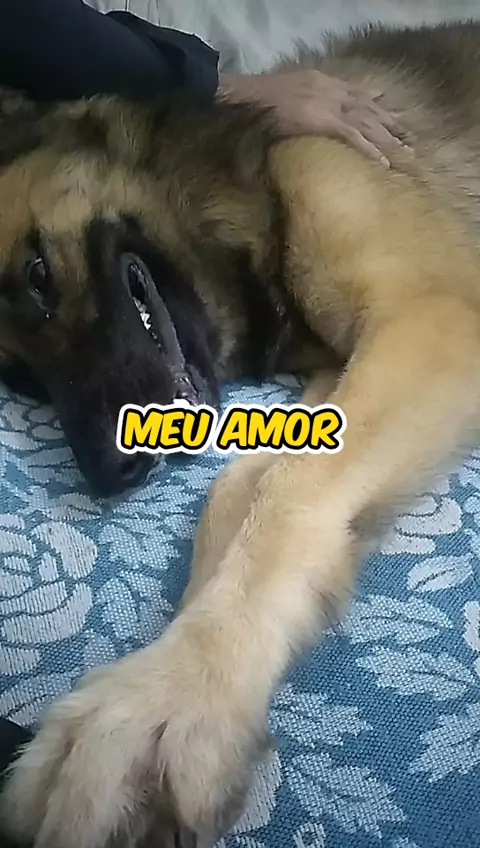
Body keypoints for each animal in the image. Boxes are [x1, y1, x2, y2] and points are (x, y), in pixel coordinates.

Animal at [2, 18, 480, 848]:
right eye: (21, 379)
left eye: (37, 276)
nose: (112, 473)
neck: (248, 190)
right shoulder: (339, 379)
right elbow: (240, 491)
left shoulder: (431, 322)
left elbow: (285, 494)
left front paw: (166, 698)